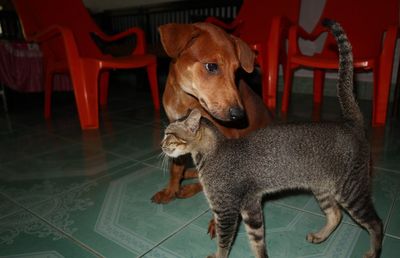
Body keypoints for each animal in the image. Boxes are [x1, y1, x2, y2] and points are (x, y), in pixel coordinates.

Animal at [151, 23, 272, 206]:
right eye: (212, 66)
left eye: (236, 71)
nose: (239, 115)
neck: (186, 98)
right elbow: (176, 167)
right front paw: (170, 190)